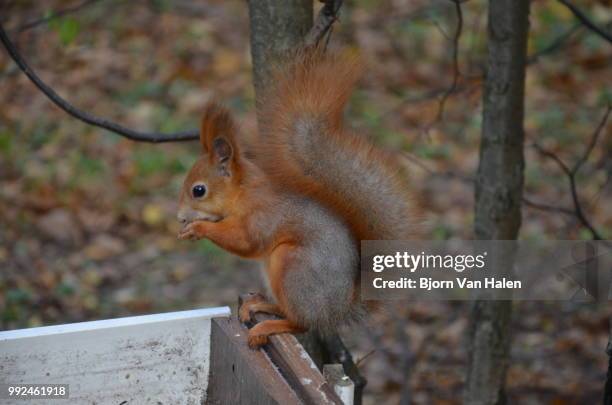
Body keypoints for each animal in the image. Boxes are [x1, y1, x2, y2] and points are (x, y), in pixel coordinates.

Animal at [176, 49, 416, 348]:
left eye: (199, 190)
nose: (179, 217)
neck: (243, 193)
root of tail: (338, 310)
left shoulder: (263, 216)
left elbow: (245, 241)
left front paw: (198, 228)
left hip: (291, 266)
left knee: (302, 323)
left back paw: (266, 327)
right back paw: (258, 306)